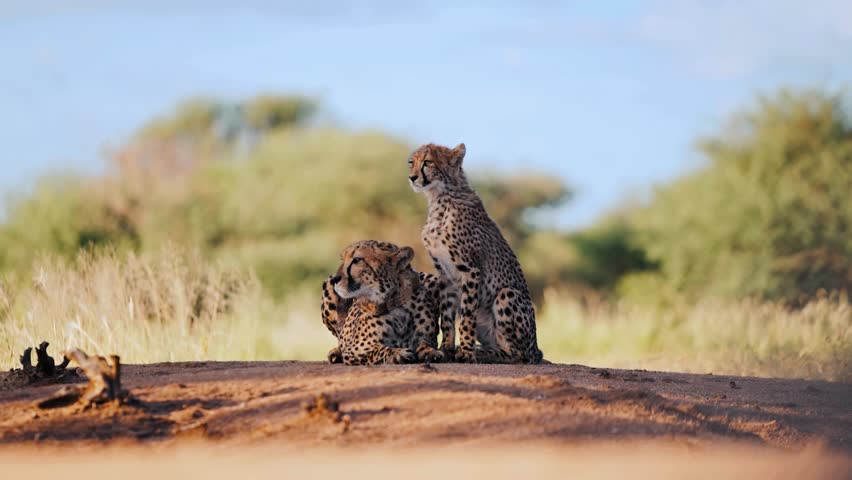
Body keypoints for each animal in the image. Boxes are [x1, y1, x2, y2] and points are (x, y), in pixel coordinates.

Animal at [407, 142, 544, 364]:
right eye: (411, 162)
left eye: (428, 162)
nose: (412, 177)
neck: (439, 197)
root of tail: (536, 350)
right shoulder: (445, 274)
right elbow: (446, 317)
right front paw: (446, 348)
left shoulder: (470, 270)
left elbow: (466, 315)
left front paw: (465, 351)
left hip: (507, 294)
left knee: (518, 354)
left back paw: (485, 353)